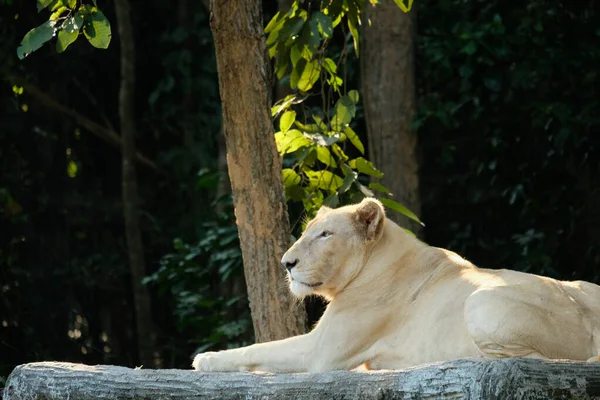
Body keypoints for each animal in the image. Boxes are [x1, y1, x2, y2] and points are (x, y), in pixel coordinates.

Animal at [192, 198, 600, 374]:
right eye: (308, 231)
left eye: (325, 235)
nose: (286, 263)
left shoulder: (322, 353)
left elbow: (257, 350)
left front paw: (205, 359)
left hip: (481, 304)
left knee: (537, 360)